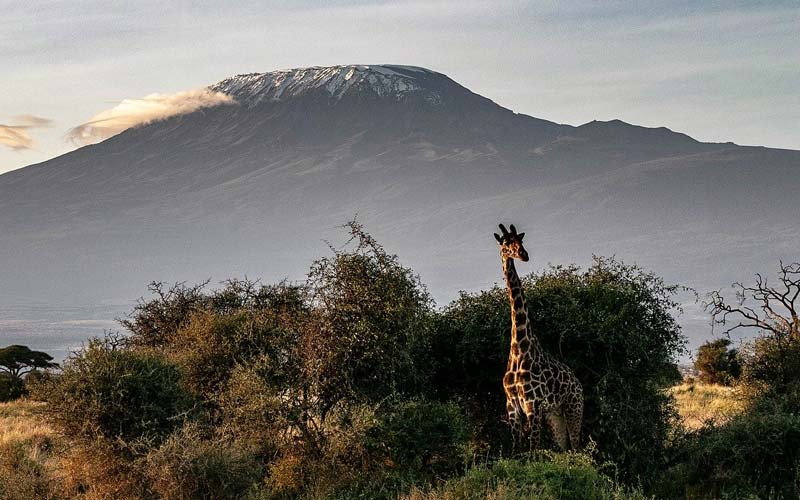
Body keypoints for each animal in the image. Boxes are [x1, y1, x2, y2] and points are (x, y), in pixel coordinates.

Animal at [494, 225, 580, 452]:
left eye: (520, 241)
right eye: (506, 242)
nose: (524, 255)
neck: (519, 348)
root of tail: (578, 382)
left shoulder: (533, 403)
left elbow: (533, 448)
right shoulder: (512, 405)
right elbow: (516, 448)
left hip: (574, 407)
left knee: (578, 447)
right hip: (554, 415)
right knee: (564, 448)